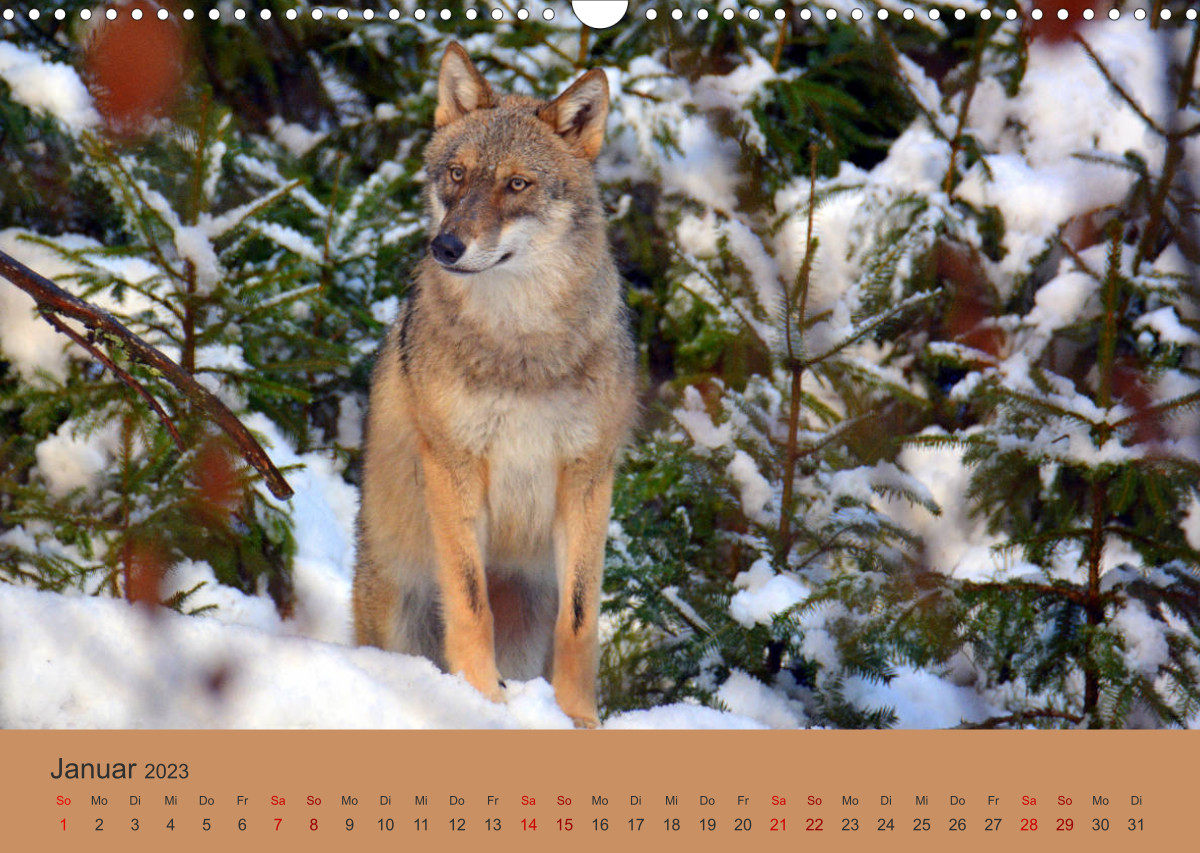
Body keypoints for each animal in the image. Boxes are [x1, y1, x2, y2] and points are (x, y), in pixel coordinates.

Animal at [352, 43, 637, 728]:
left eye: (517, 184)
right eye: (457, 175)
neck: (520, 346)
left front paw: (578, 720)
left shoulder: (588, 476)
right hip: (399, 604)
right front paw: (482, 701)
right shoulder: (453, 465)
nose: (446, 246)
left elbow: (580, 621)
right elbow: (469, 600)